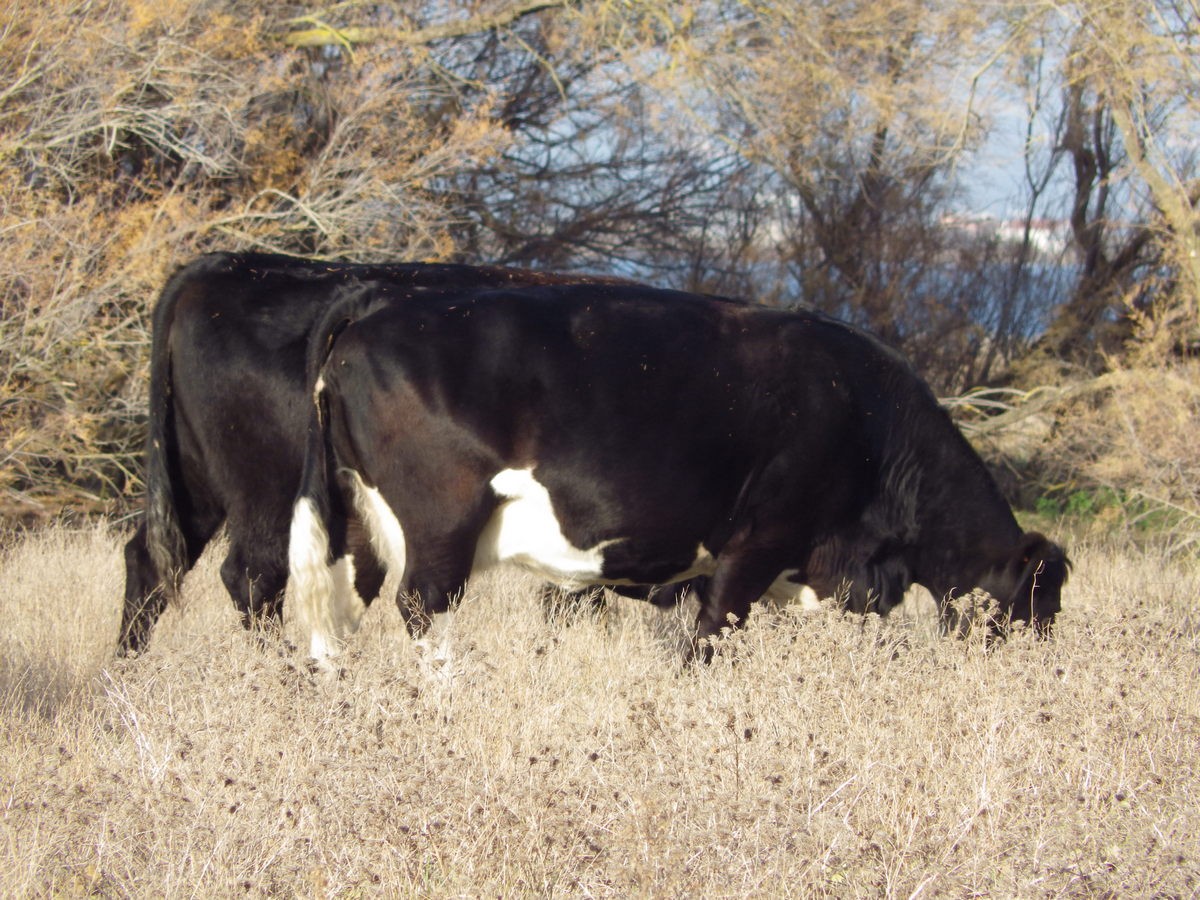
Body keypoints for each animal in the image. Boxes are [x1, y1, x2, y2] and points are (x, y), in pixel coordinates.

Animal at [120, 252, 624, 657]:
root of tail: (222, 267)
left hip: (195, 478)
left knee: (149, 560)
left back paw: (128, 668)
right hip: (266, 490)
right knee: (252, 574)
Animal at [290, 282, 1070, 662]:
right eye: (1043, 598)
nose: (1047, 667)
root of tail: (384, 302)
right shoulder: (757, 545)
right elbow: (710, 639)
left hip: (353, 520)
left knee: (339, 613)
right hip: (441, 522)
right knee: (424, 608)